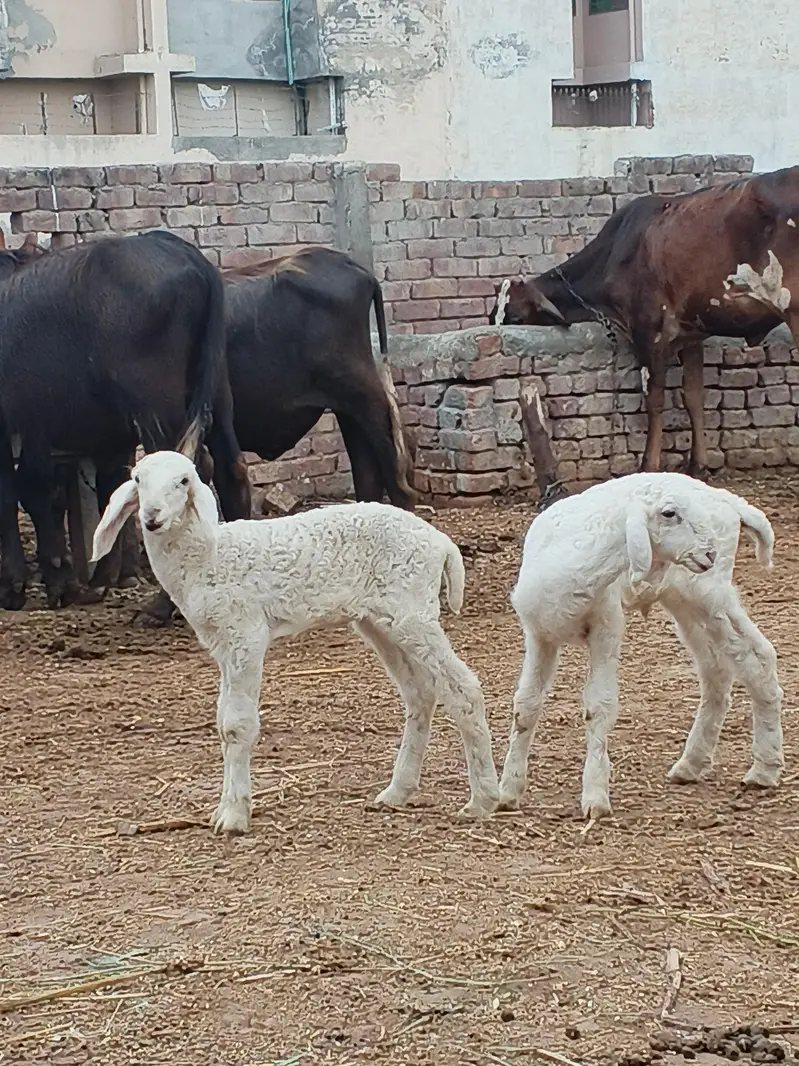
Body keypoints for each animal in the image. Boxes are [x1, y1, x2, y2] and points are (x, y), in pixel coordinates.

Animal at [90, 450, 500, 835]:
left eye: (184, 481)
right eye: (138, 480)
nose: (152, 517)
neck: (208, 558)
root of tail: (441, 542)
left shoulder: (246, 633)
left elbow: (237, 725)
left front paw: (235, 816)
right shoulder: (222, 644)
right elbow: (222, 723)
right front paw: (223, 809)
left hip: (413, 612)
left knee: (463, 689)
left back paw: (483, 798)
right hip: (381, 621)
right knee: (421, 693)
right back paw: (397, 791)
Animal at [498, 471, 784, 821]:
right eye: (669, 513)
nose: (709, 553)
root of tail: (729, 499)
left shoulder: (607, 623)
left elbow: (599, 705)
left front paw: (595, 797)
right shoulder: (538, 633)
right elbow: (525, 705)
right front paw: (507, 791)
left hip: (708, 593)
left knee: (756, 658)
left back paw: (764, 768)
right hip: (687, 602)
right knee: (720, 668)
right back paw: (693, 764)